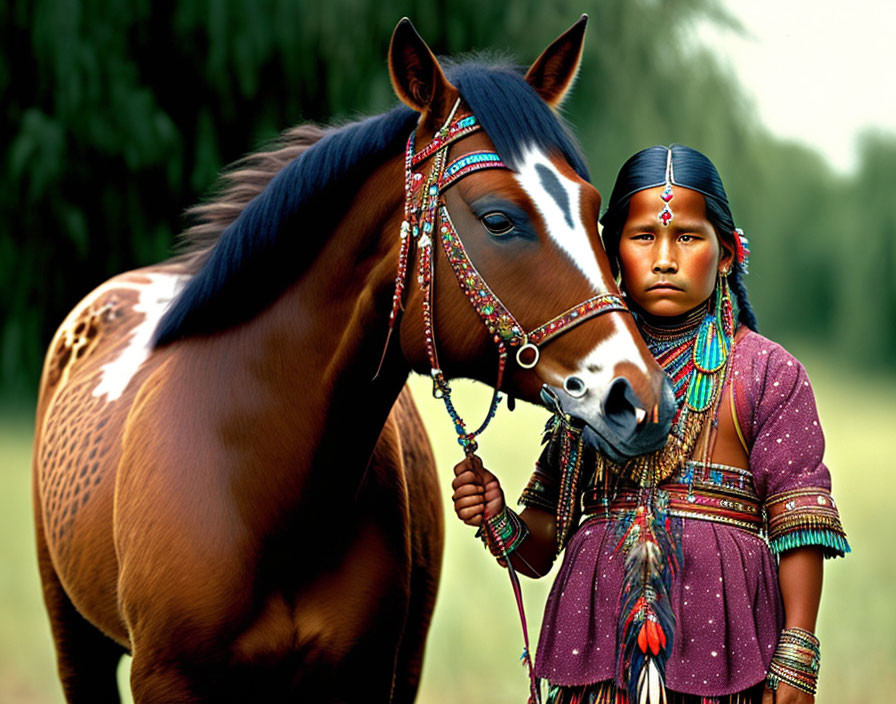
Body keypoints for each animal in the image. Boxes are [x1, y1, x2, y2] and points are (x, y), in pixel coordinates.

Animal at [31, 17, 672, 704]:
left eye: (592, 208)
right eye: (499, 220)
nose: (642, 400)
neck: (265, 489)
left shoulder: (365, 673)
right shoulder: (168, 680)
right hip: (75, 642)